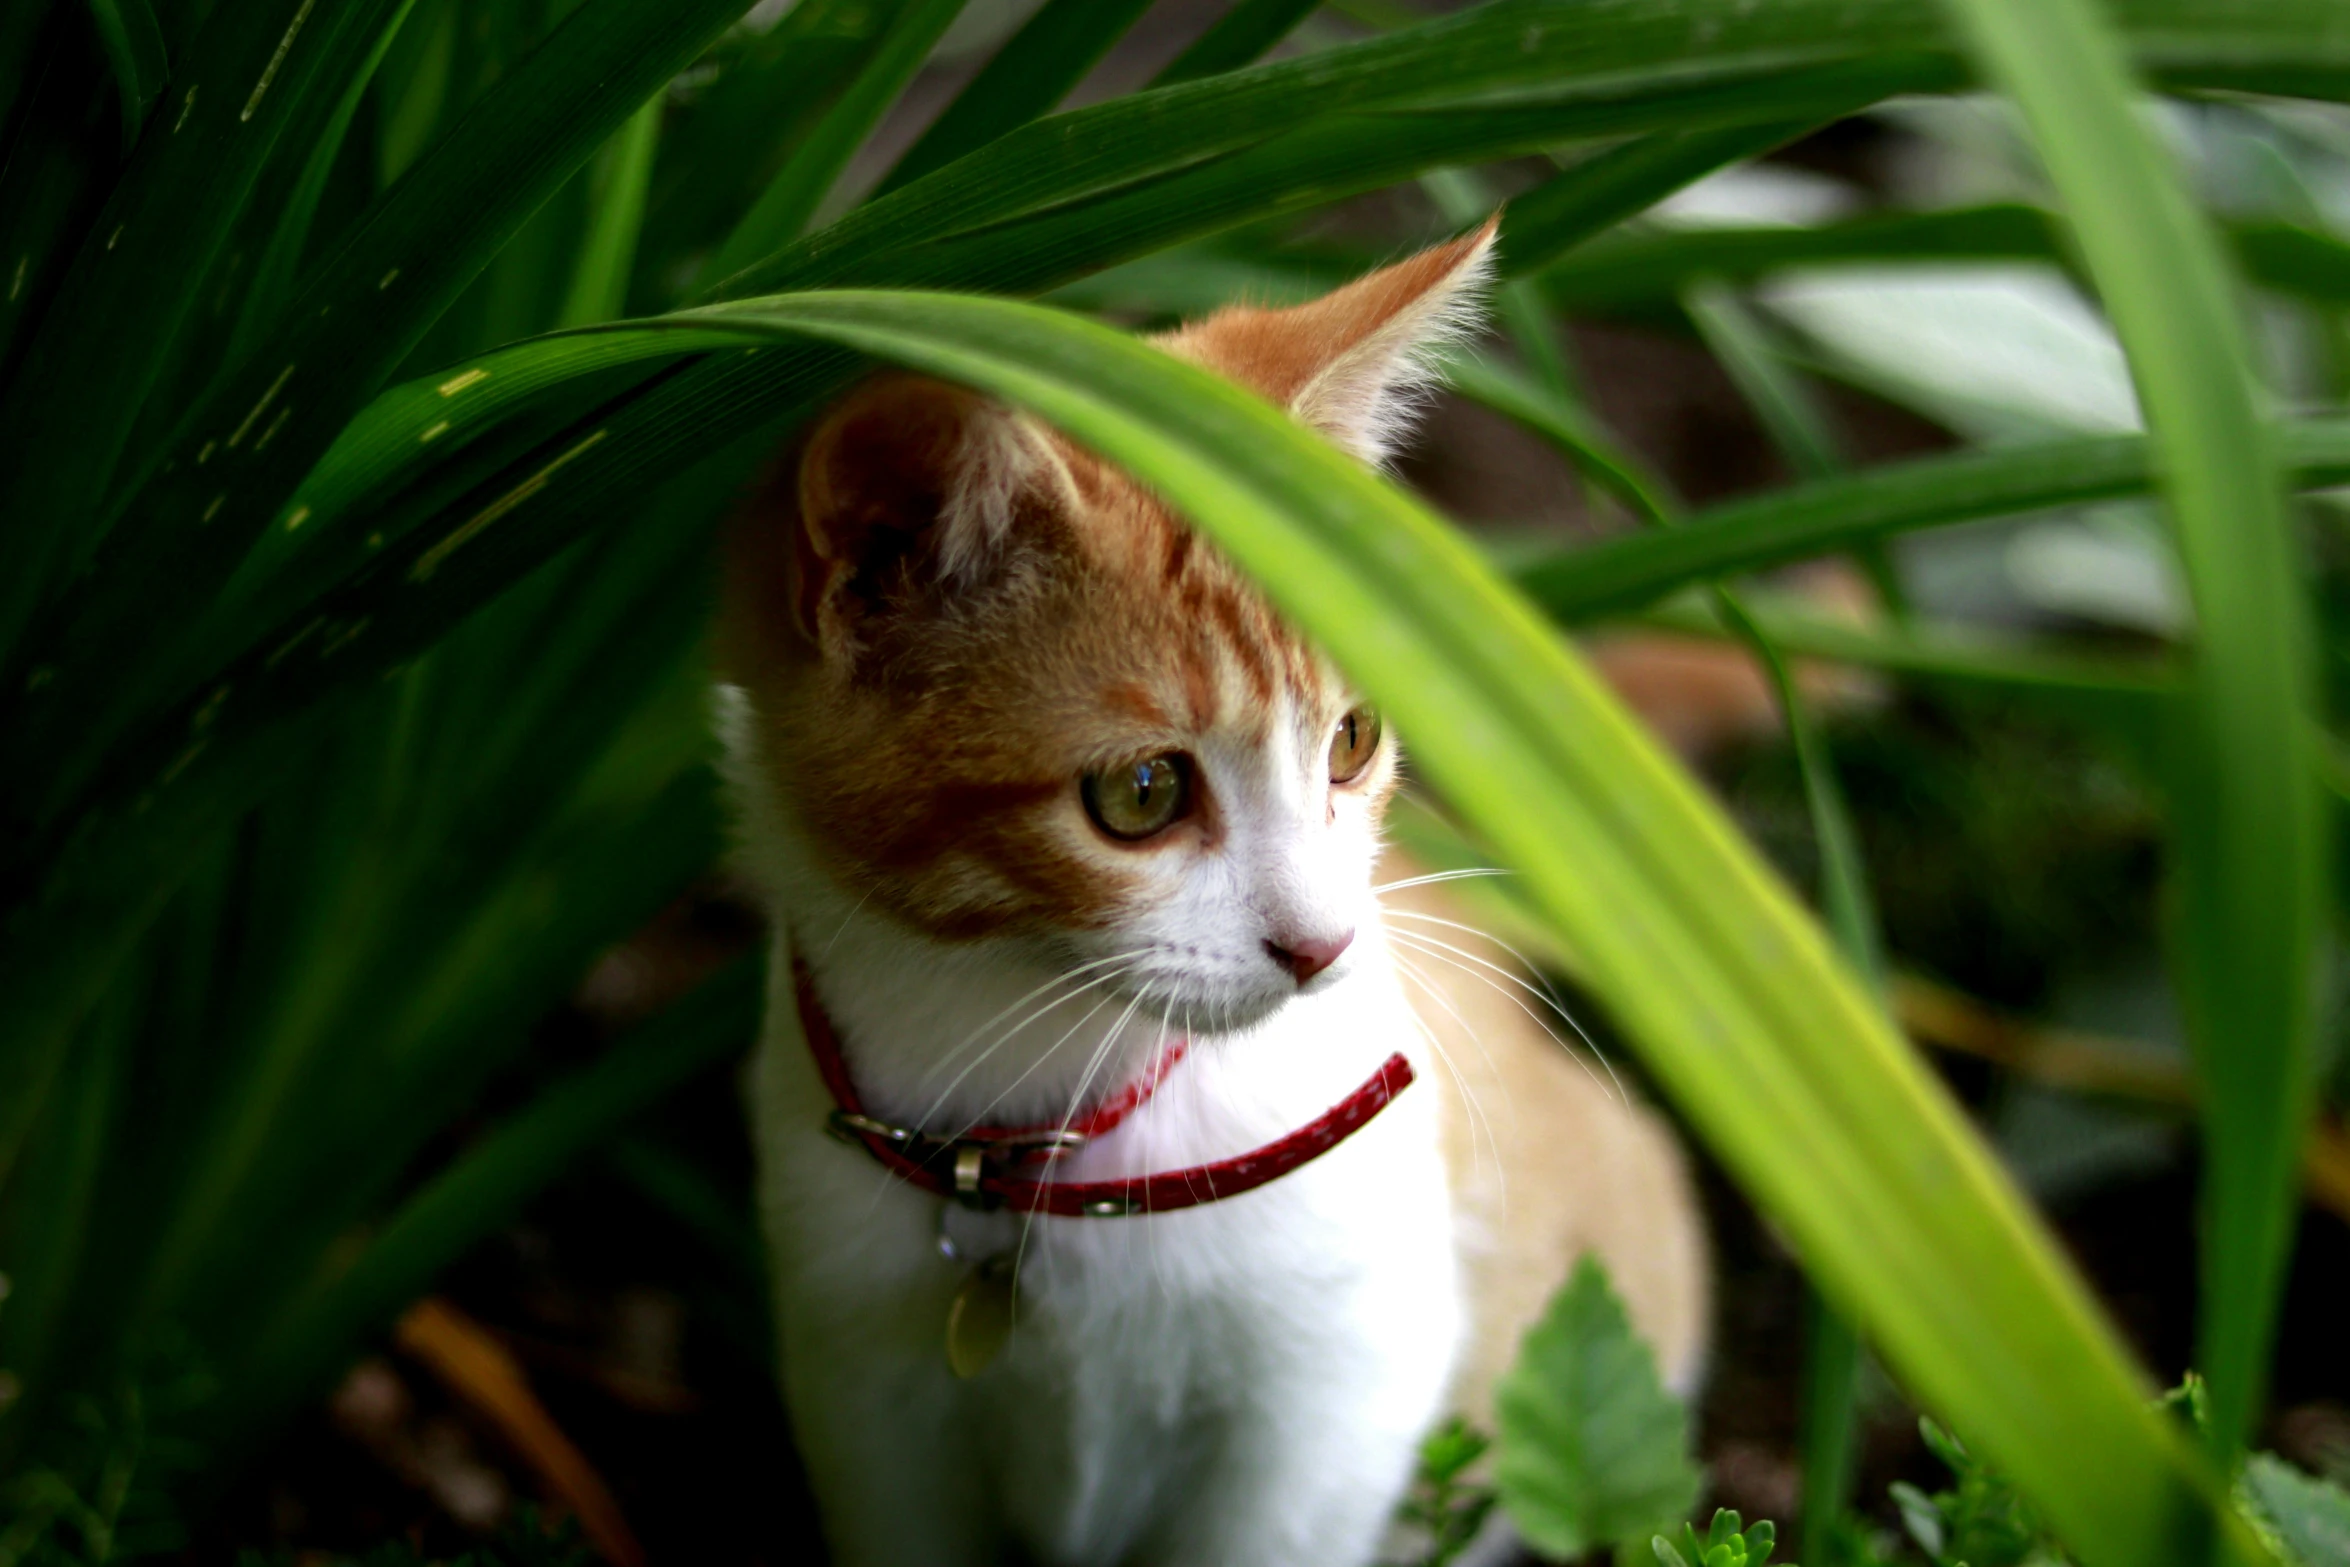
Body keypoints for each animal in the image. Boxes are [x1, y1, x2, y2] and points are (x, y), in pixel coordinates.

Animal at [714, 226, 1710, 1567]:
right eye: (1139, 792)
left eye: (1352, 738)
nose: (1324, 943)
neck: (1040, 1127)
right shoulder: (865, 1388)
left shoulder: (1336, 1400)